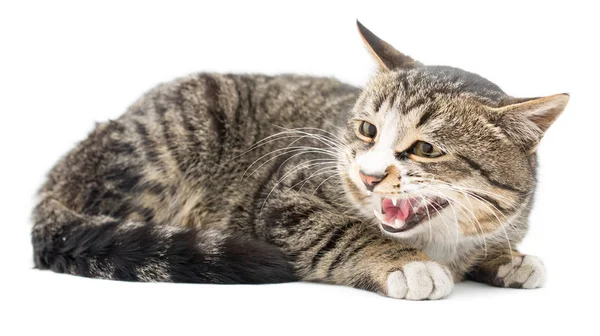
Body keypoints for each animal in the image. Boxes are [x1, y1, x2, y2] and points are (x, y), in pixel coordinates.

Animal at [31, 21, 568, 300]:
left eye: (426, 149)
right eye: (367, 130)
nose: (369, 175)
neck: (438, 239)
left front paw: (507, 260)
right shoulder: (285, 197)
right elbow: (337, 232)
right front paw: (404, 263)